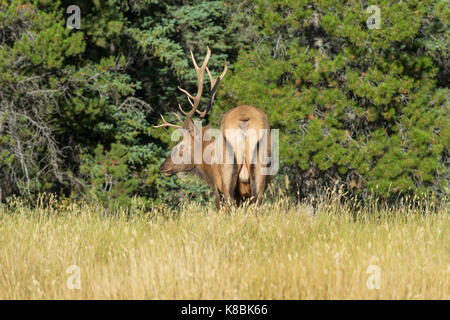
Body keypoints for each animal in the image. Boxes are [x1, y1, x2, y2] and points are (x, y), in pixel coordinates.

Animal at [155, 47, 272, 208]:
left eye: (181, 145)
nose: (162, 167)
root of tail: (244, 120)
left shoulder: (218, 188)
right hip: (260, 174)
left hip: (227, 175)